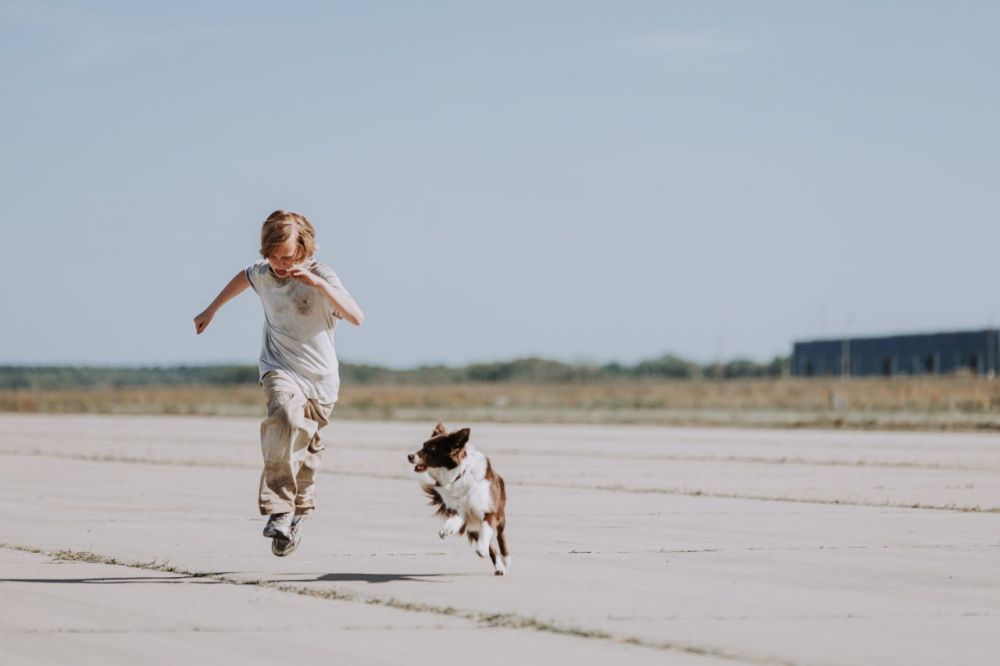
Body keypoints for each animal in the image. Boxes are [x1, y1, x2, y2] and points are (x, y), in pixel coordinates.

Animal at [406, 422, 512, 572]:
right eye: (423, 445)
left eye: (431, 448)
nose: (409, 456)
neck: (458, 475)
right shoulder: (459, 511)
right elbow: (455, 519)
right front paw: (447, 530)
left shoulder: (489, 511)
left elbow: (487, 529)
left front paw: (482, 548)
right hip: (473, 527)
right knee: (491, 546)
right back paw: (499, 567)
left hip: (500, 515)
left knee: (500, 535)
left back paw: (505, 559)